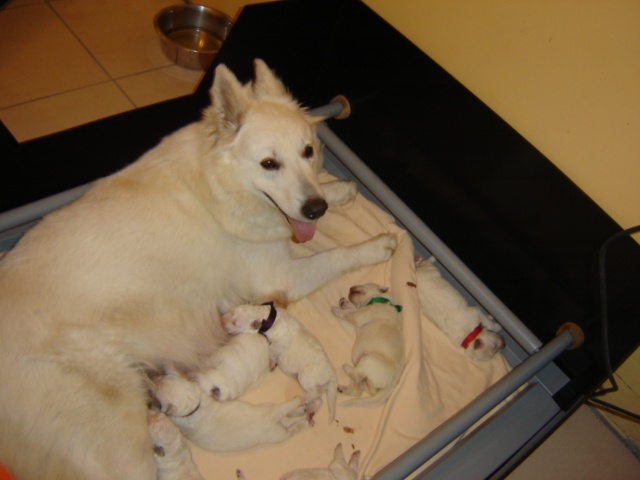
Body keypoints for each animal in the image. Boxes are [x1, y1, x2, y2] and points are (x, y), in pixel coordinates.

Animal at [152, 370, 308, 452]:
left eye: (158, 392)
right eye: (165, 376)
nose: (155, 377)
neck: (195, 406)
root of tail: (270, 416)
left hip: (276, 436)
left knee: (289, 431)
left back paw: (300, 425)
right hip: (268, 406)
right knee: (287, 413)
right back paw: (301, 411)